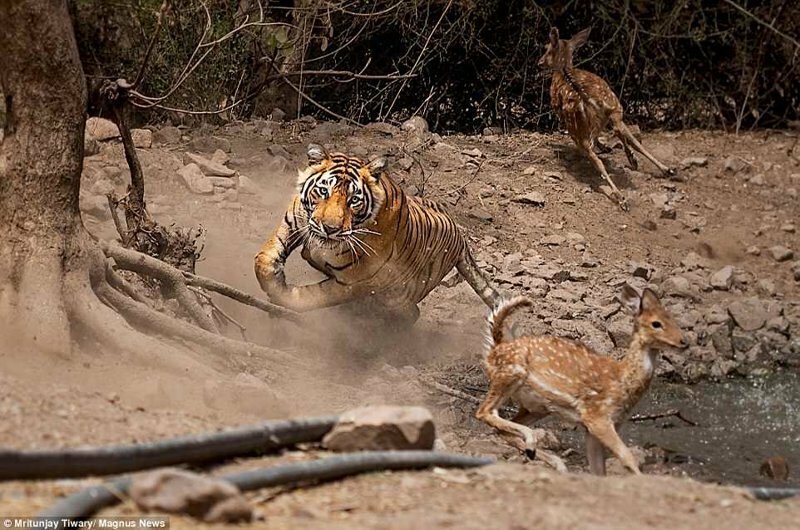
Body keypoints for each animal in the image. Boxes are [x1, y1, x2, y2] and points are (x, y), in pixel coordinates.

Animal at [255, 143, 500, 326]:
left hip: (399, 296)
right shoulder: (292, 223)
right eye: (323, 191)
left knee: (411, 313)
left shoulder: (353, 281)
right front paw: (275, 282)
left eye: (354, 200)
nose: (330, 228)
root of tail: (461, 237)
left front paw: (281, 296)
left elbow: (312, 297)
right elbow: (263, 260)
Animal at [476, 286, 688, 472]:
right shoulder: (596, 416)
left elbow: (598, 468)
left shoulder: (601, 425)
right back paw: (535, 445)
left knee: (501, 429)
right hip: (510, 374)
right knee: (484, 412)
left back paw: (550, 460)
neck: (622, 381)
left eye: (674, 319)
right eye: (656, 323)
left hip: (537, 406)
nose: (684, 341)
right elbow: (627, 457)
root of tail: (495, 349)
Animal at [536, 26, 676, 208]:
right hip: (615, 107)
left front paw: (616, 152)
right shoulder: (611, 116)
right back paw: (666, 170)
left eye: (547, 48)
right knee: (628, 138)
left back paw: (621, 197)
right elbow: (624, 137)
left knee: (597, 156)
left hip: (578, 127)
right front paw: (631, 158)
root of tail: (587, 98)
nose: (539, 63)